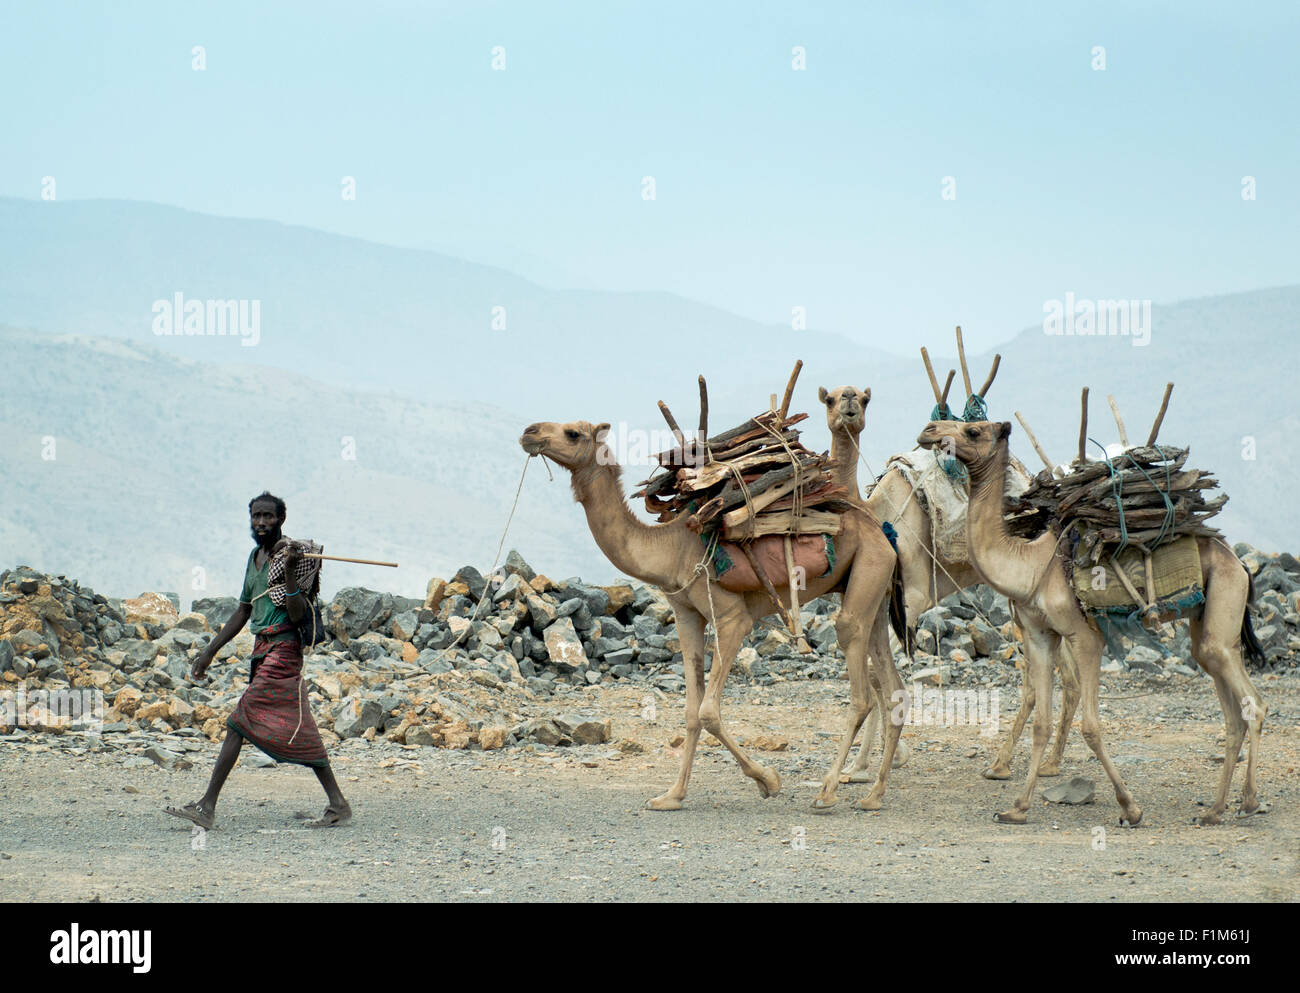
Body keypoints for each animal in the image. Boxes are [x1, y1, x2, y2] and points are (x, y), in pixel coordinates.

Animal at [514, 415, 904, 811]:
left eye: (572, 433)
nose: (529, 432)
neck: (670, 549)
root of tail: (883, 533)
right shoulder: (685, 614)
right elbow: (691, 711)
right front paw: (671, 796)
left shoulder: (732, 618)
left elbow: (708, 711)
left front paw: (768, 780)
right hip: (873, 586)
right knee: (893, 688)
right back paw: (873, 795)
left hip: (867, 571)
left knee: (860, 686)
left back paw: (827, 792)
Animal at [915, 415, 1268, 821]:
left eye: (972, 430)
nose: (928, 430)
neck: (1030, 565)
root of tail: (1240, 563)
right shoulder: (1039, 635)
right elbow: (1041, 722)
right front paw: (1016, 808)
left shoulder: (1084, 637)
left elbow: (1092, 725)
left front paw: (1130, 808)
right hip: (1206, 621)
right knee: (1228, 706)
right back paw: (1214, 809)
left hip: (1225, 597)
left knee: (1254, 704)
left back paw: (1248, 801)